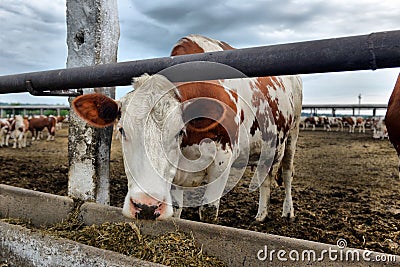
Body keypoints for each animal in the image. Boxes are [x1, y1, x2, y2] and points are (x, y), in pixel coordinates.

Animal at [72, 34, 304, 223]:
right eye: (121, 130)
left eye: (179, 132)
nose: (146, 206)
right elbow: (176, 211)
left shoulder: (222, 161)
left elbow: (208, 212)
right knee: (265, 177)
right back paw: (261, 215)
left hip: (292, 134)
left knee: (287, 171)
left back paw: (286, 211)